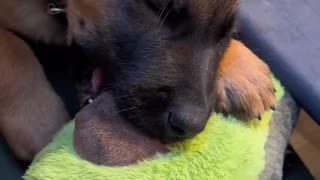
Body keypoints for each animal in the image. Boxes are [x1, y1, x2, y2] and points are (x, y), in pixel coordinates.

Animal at [0, 0, 276, 160]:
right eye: (156, 5)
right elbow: (12, 50)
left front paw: (242, 68)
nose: (190, 126)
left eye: (227, 32)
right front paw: (38, 123)